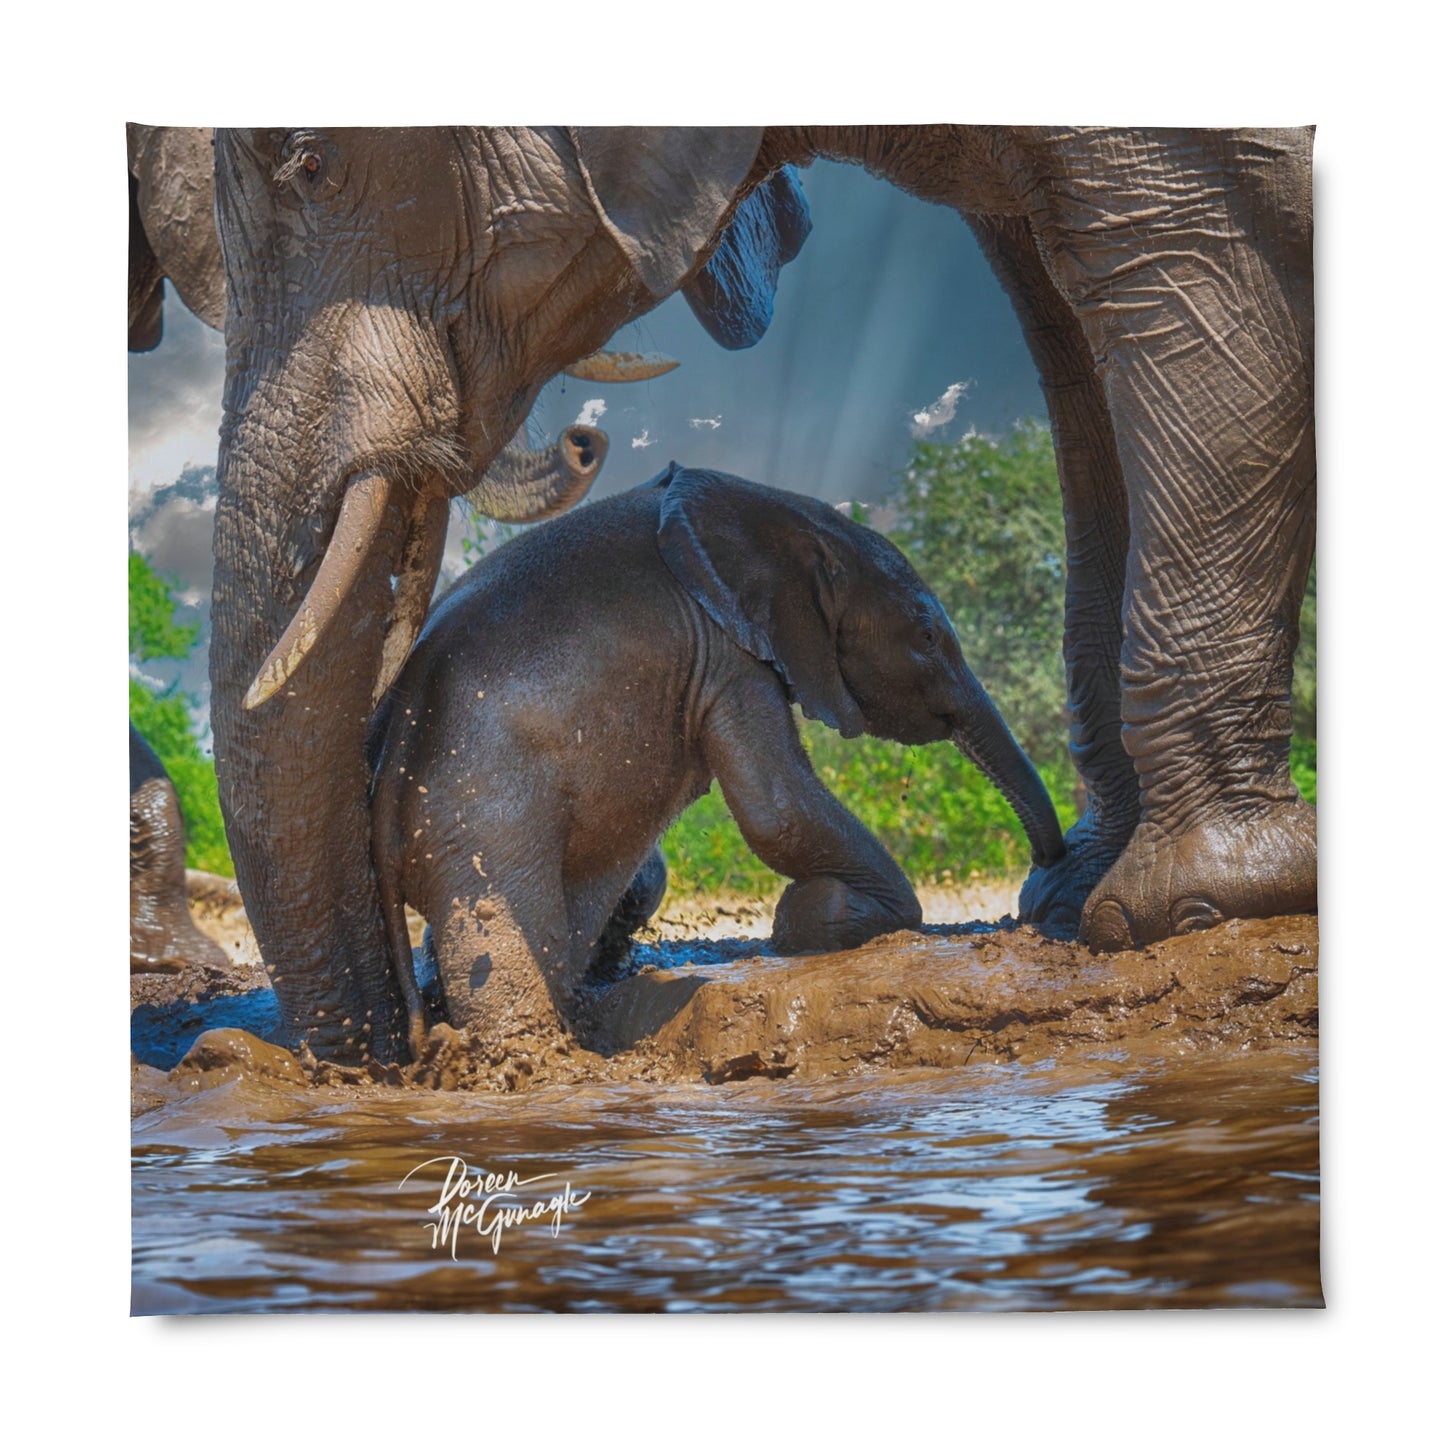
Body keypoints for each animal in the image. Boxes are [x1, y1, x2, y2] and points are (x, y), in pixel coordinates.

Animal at [369, 462, 1066, 1058]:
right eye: (925, 636)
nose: (1045, 873)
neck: (781, 516)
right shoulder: (727, 652)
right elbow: (777, 809)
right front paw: (832, 915)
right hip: (482, 825)